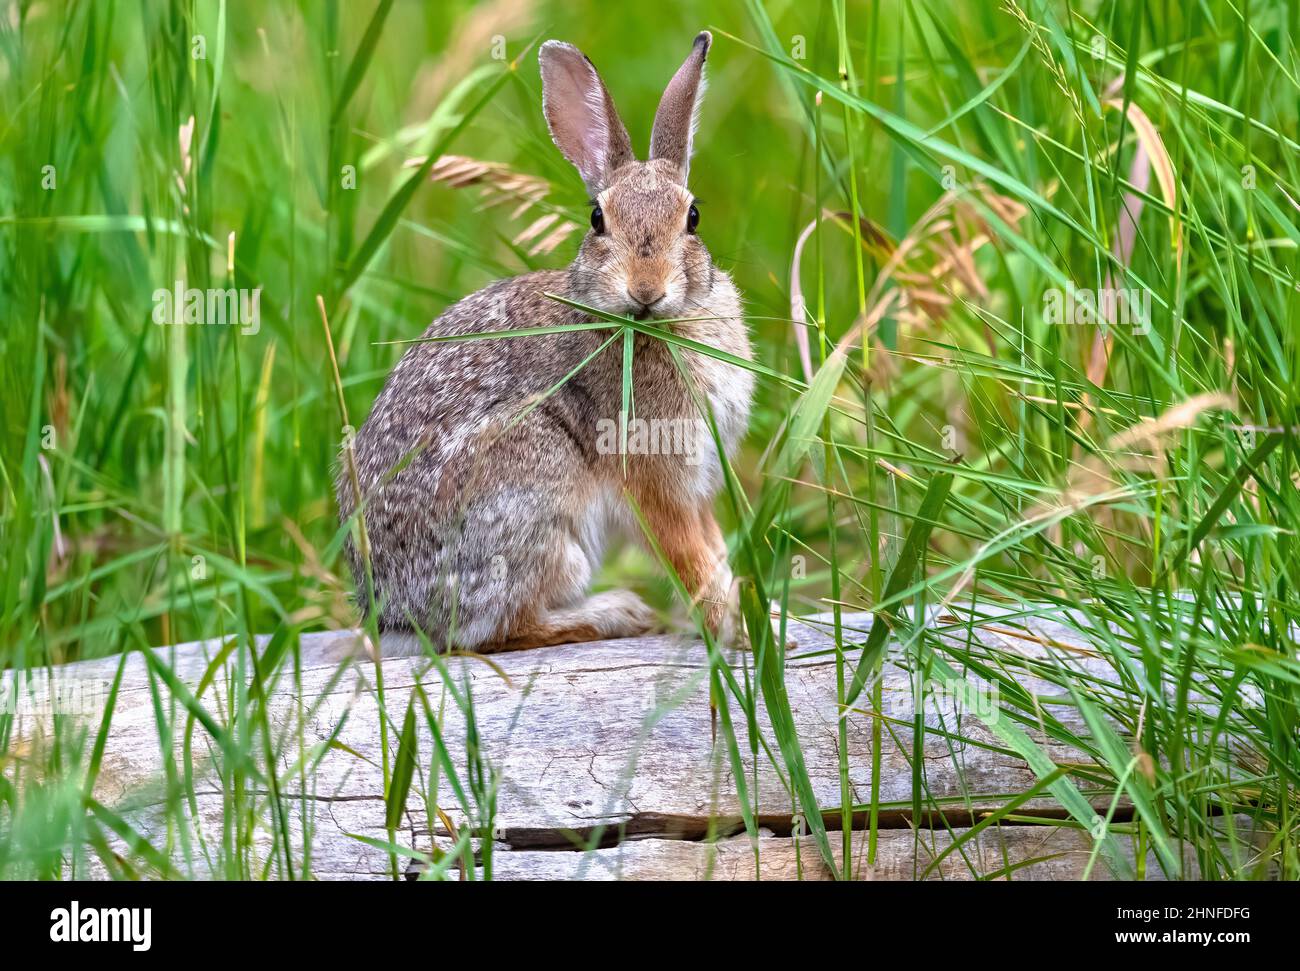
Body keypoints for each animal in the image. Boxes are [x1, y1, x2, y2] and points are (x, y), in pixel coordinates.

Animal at [338, 32, 754, 652]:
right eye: (598, 219)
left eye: (694, 217)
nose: (646, 289)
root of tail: (393, 613)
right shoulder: (654, 474)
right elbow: (689, 555)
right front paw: (734, 631)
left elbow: (713, 549)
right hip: (537, 495)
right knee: (502, 629)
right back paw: (616, 613)